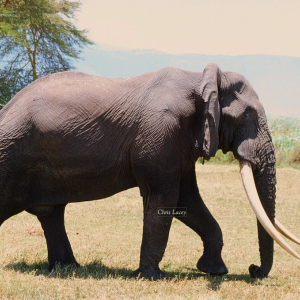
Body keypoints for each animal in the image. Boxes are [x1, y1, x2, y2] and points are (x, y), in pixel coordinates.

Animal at [0, 62, 300, 280]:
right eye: (247, 114)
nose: (253, 270)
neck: (200, 79)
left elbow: (186, 201)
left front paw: (214, 271)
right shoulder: (161, 132)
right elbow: (165, 198)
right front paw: (152, 277)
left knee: (51, 214)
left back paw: (67, 269)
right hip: (11, 155)